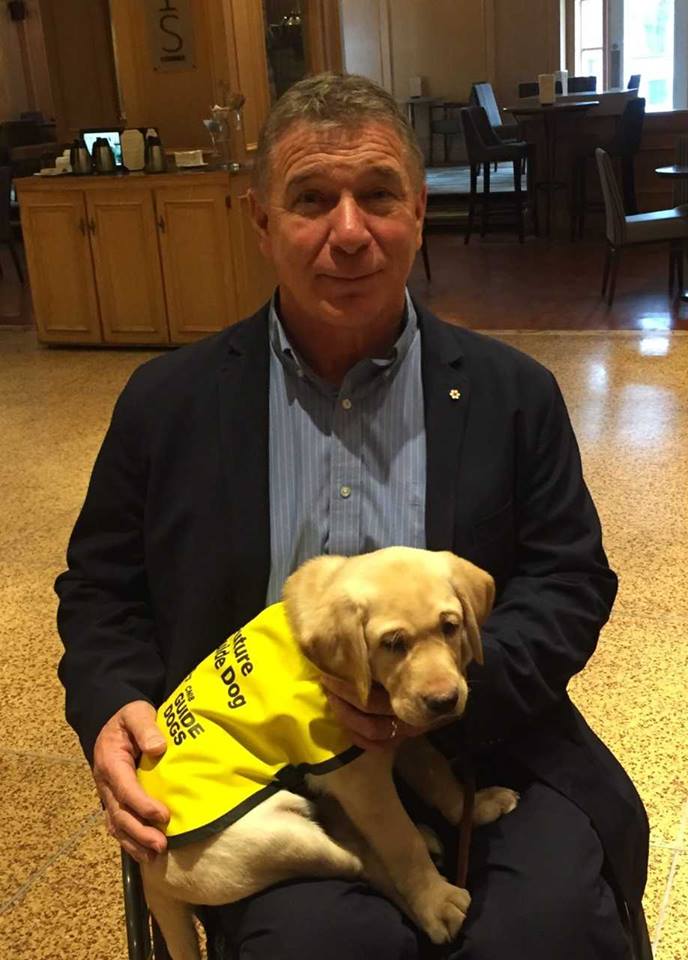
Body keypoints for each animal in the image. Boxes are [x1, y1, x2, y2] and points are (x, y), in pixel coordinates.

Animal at [138, 548, 516, 960]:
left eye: (450, 626)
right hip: (272, 837)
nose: (444, 701)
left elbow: (437, 775)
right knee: (362, 861)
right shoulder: (361, 781)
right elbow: (400, 843)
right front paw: (436, 902)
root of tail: (148, 873)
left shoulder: (400, 734)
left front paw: (475, 806)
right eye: (392, 643)